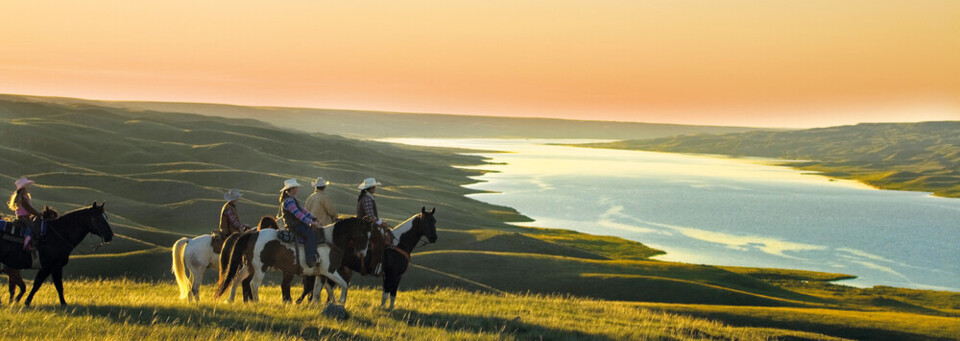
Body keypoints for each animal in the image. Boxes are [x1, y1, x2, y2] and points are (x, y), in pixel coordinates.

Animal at [214, 216, 372, 302]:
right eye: (363, 234)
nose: (363, 254)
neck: (331, 239)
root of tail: (253, 234)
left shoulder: (321, 274)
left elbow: (318, 290)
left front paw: (318, 305)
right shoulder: (330, 271)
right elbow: (344, 284)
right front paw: (341, 301)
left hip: (249, 266)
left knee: (236, 279)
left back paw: (230, 299)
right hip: (260, 267)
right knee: (253, 284)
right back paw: (256, 302)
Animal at [298, 206, 440, 310]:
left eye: (434, 221)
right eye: (426, 221)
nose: (434, 238)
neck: (399, 244)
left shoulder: (393, 275)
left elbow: (390, 293)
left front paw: (387, 308)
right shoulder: (393, 274)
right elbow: (388, 293)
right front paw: (385, 309)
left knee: (323, 285)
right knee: (326, 285)